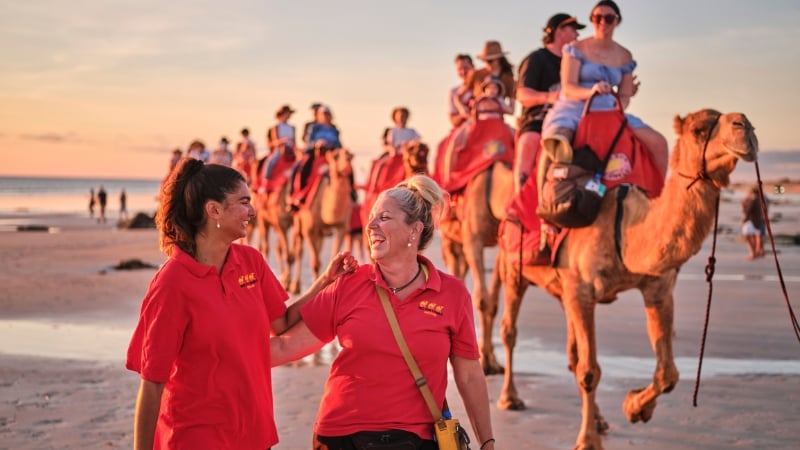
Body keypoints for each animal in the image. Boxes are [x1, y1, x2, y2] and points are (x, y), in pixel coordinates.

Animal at [286, 149, 352, 294]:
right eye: (336, 156)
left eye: (350, 156)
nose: (347, 164)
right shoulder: (310, 230)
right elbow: (315, 263)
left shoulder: (342, 227)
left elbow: (333, 253)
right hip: (298, 220)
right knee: (299, 249)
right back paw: (294, 285)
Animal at [490, 110, 760, 450]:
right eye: (699, 130)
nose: (745, 127)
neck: (625, 228)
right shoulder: (581, 291)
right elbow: (590, 370)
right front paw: (587, 440)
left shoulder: (656, 289)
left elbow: (668, 373)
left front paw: (634, 408)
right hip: (513, 268)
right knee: (510, 330)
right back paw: (509, 398)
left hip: (563, 292)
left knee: (573, 352)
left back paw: (600, 419)